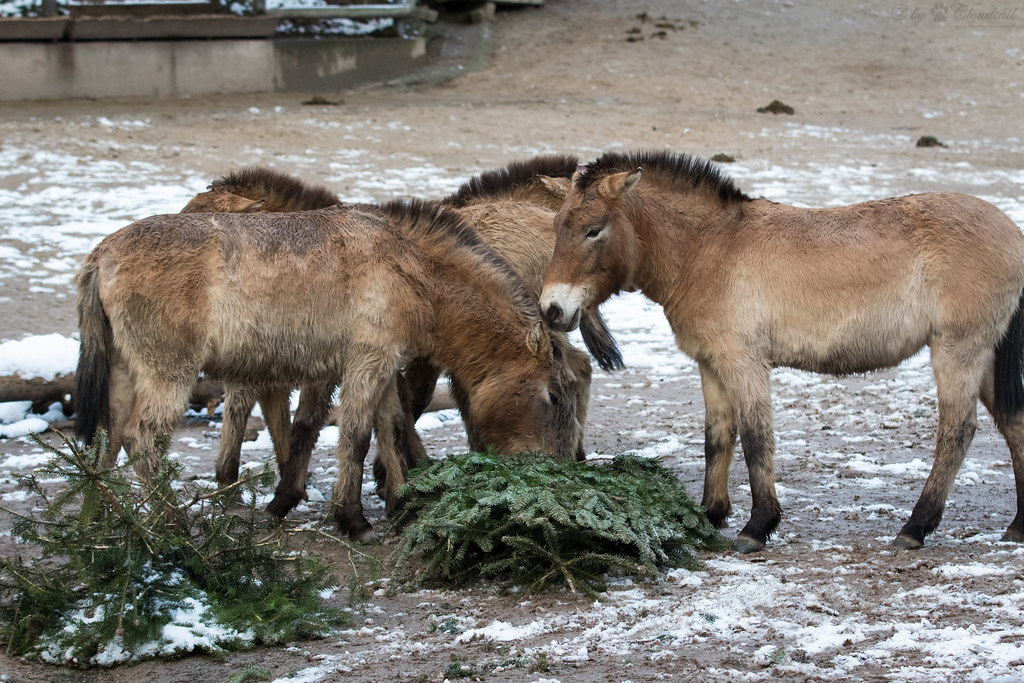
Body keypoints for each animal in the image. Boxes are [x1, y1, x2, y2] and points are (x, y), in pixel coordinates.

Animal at [75, 199, 578, 540]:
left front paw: (401, 504)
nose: (550, 471)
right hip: (169, 375)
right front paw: (353, 519)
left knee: (108, 440)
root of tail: (102, 252)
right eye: (554, 397)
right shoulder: (366, 362)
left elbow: (392, 427)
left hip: (123, 375)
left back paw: (101, 522)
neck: (410, 262)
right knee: (140, 439)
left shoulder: (382, 366)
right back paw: (171, 522)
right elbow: (356, 436)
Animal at [539, 149, 1024, 553]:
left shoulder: (744, 363)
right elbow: (718, 438)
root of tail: (1011, 232)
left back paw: (915, 528)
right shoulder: (711, 366)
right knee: (1014, 423)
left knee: (957, 432)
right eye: (556, 226)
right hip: (985, 357)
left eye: (594, 230)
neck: (709, 248)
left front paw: (758, 527)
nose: (551, 309)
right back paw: (1017, 525)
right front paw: (711, 515)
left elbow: (756, 437)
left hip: (959, 351)